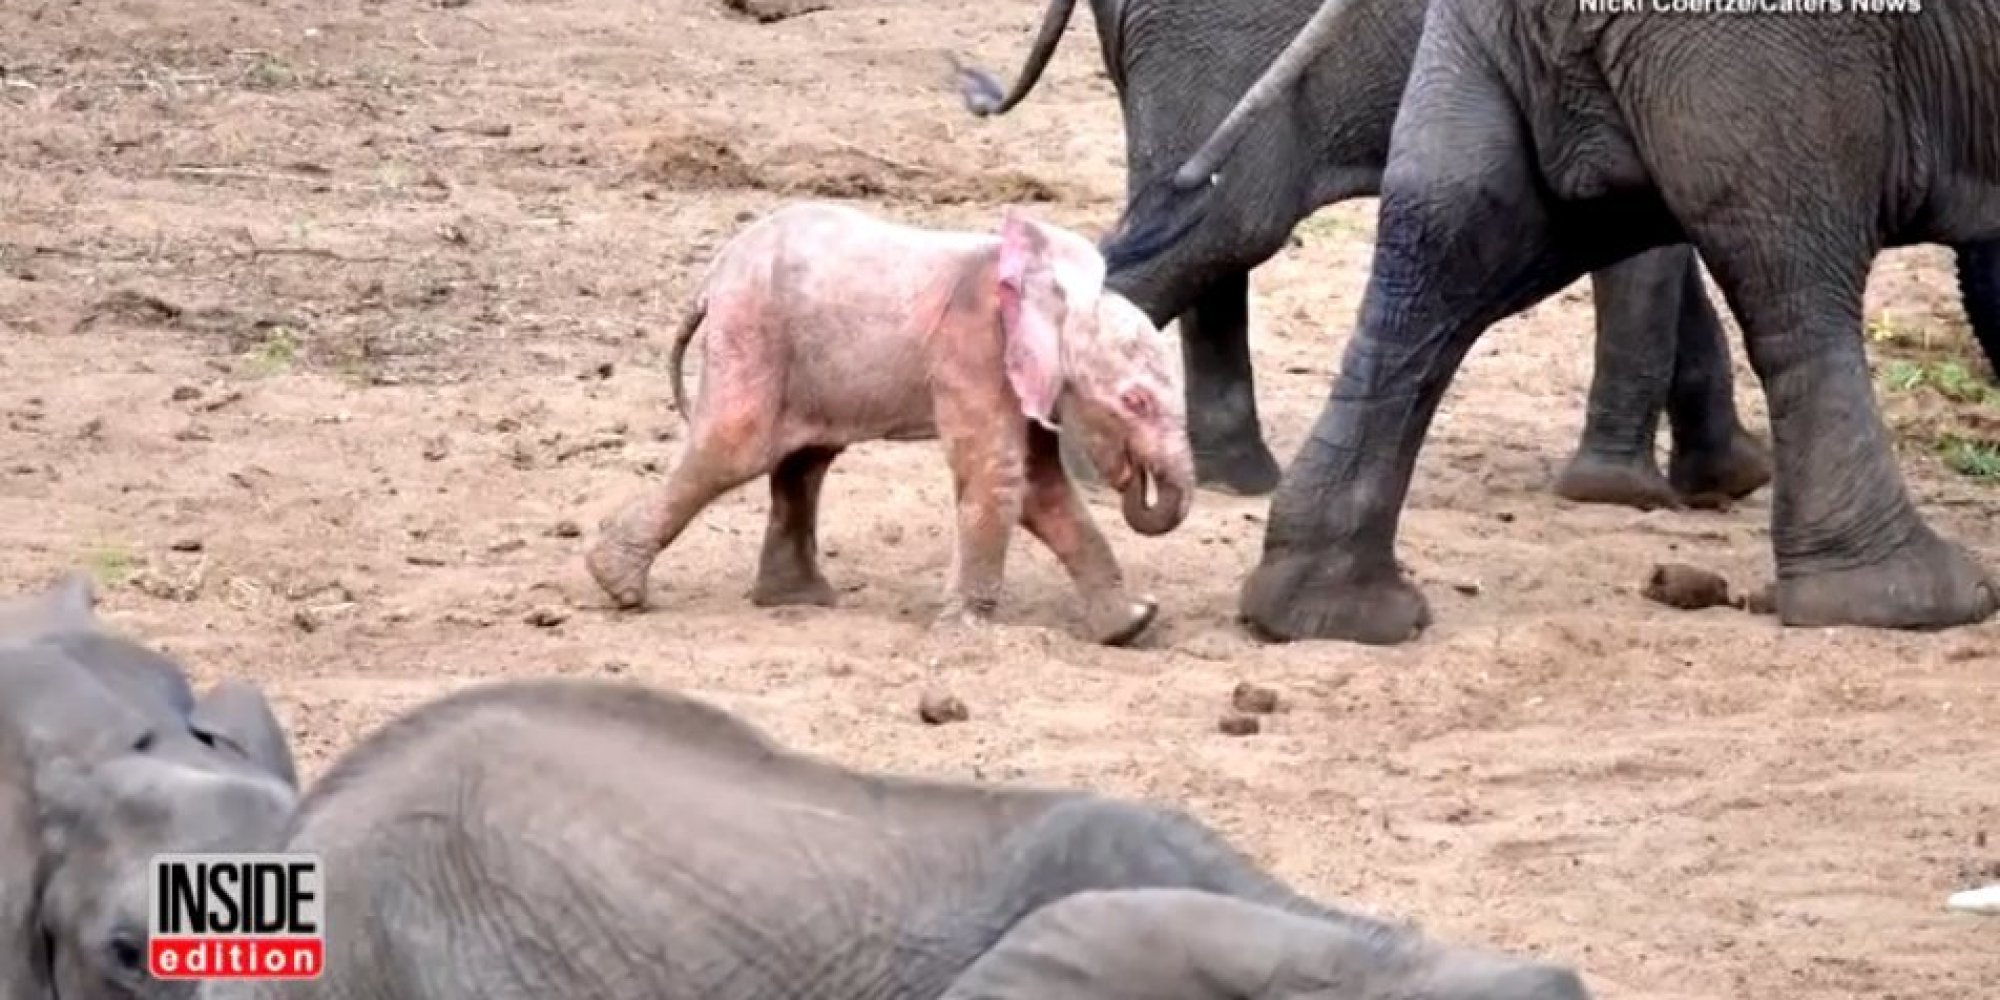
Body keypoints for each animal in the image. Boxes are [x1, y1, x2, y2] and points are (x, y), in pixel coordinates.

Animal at [584, 199, 1192, 644]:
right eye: (1135, 402)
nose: (1133, 478)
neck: (1055, 291)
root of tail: (711, 277)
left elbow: (1043, 489)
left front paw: (1132, 625)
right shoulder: (973, 352)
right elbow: (999, 477)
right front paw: (965, 636)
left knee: (803, 461)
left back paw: (798, 601)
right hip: (753, 331)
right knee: (736, 447)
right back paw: (618, 587)